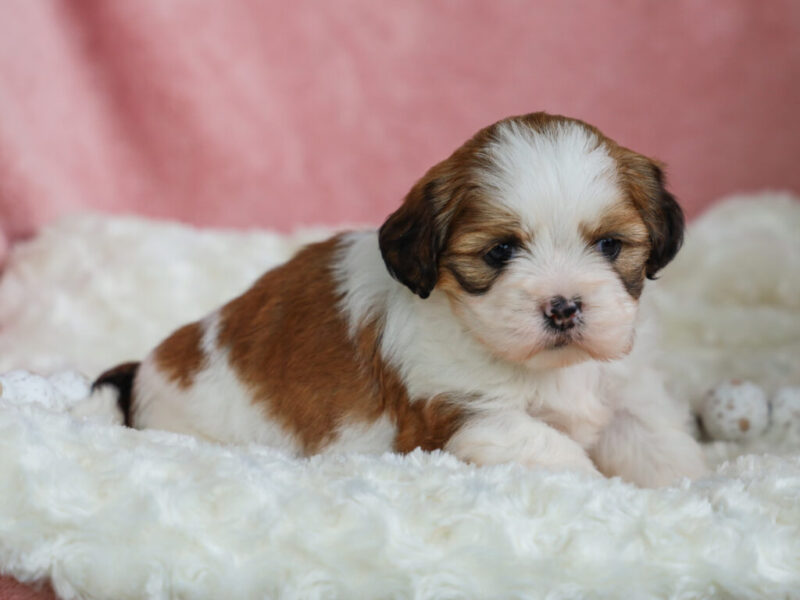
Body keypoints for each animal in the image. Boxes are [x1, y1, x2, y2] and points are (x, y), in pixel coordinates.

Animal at [92, 112, 707, 487]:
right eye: (500, 252)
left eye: (610, 246)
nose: (563, 307)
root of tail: (144, 374)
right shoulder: (465, 414)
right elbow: (558, 455)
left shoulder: (624, 390)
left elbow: (654, 440)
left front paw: (691, 489)